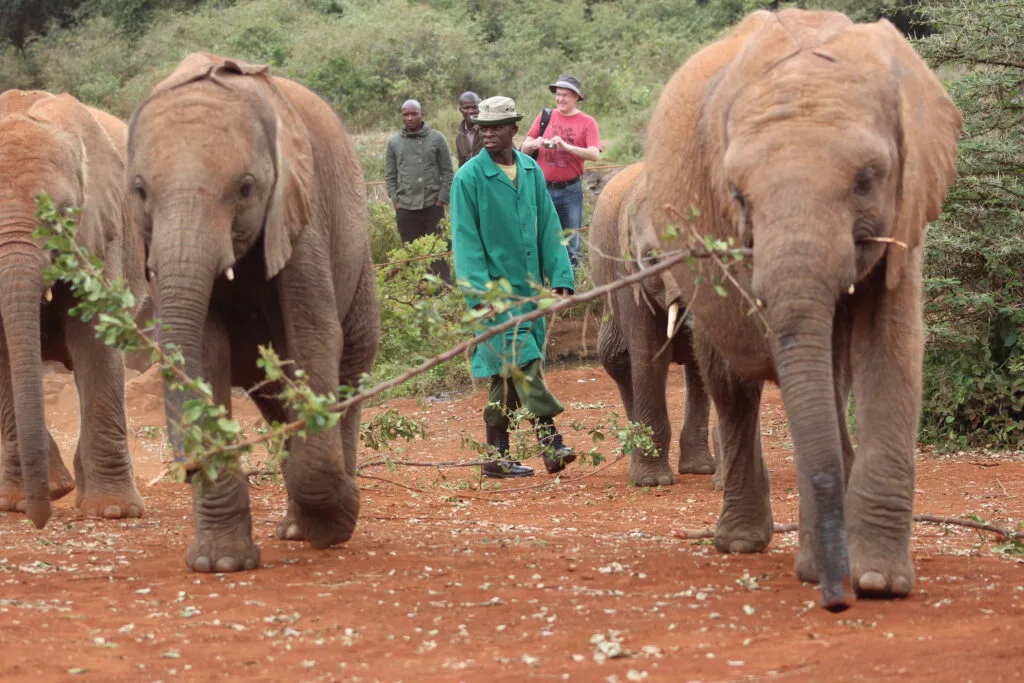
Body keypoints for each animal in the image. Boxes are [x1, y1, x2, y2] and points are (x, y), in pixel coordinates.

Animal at [0, 89, 147, 527]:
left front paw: (114, 511)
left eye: (63, 215)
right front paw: (18, 502)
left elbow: (95, 336)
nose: (39, 520)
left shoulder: (100, 231)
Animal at [127, 53, 380, 573]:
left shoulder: (301, 214)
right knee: (274, 394)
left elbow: (314, 339)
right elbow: (204, 355)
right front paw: (220, 564)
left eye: (246, 188)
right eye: (139, 191)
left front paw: (335, 523)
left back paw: (325, 516)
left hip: (357, 255)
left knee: (348, 366)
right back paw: (295, 526)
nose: (185, 466)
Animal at [589, 162, 715, 487]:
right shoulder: (628, 274)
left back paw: (699, 468)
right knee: (617, 360)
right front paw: (653, 482)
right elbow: (648, 356)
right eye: (651, 258)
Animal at [645, 9, 961, 609]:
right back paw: (740, 542)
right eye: (738, 195)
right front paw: (826, 570)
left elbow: (892, 345)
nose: (837, 599)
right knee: (733, 384)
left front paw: (880, 581)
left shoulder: (906, 210)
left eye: (866, 179)